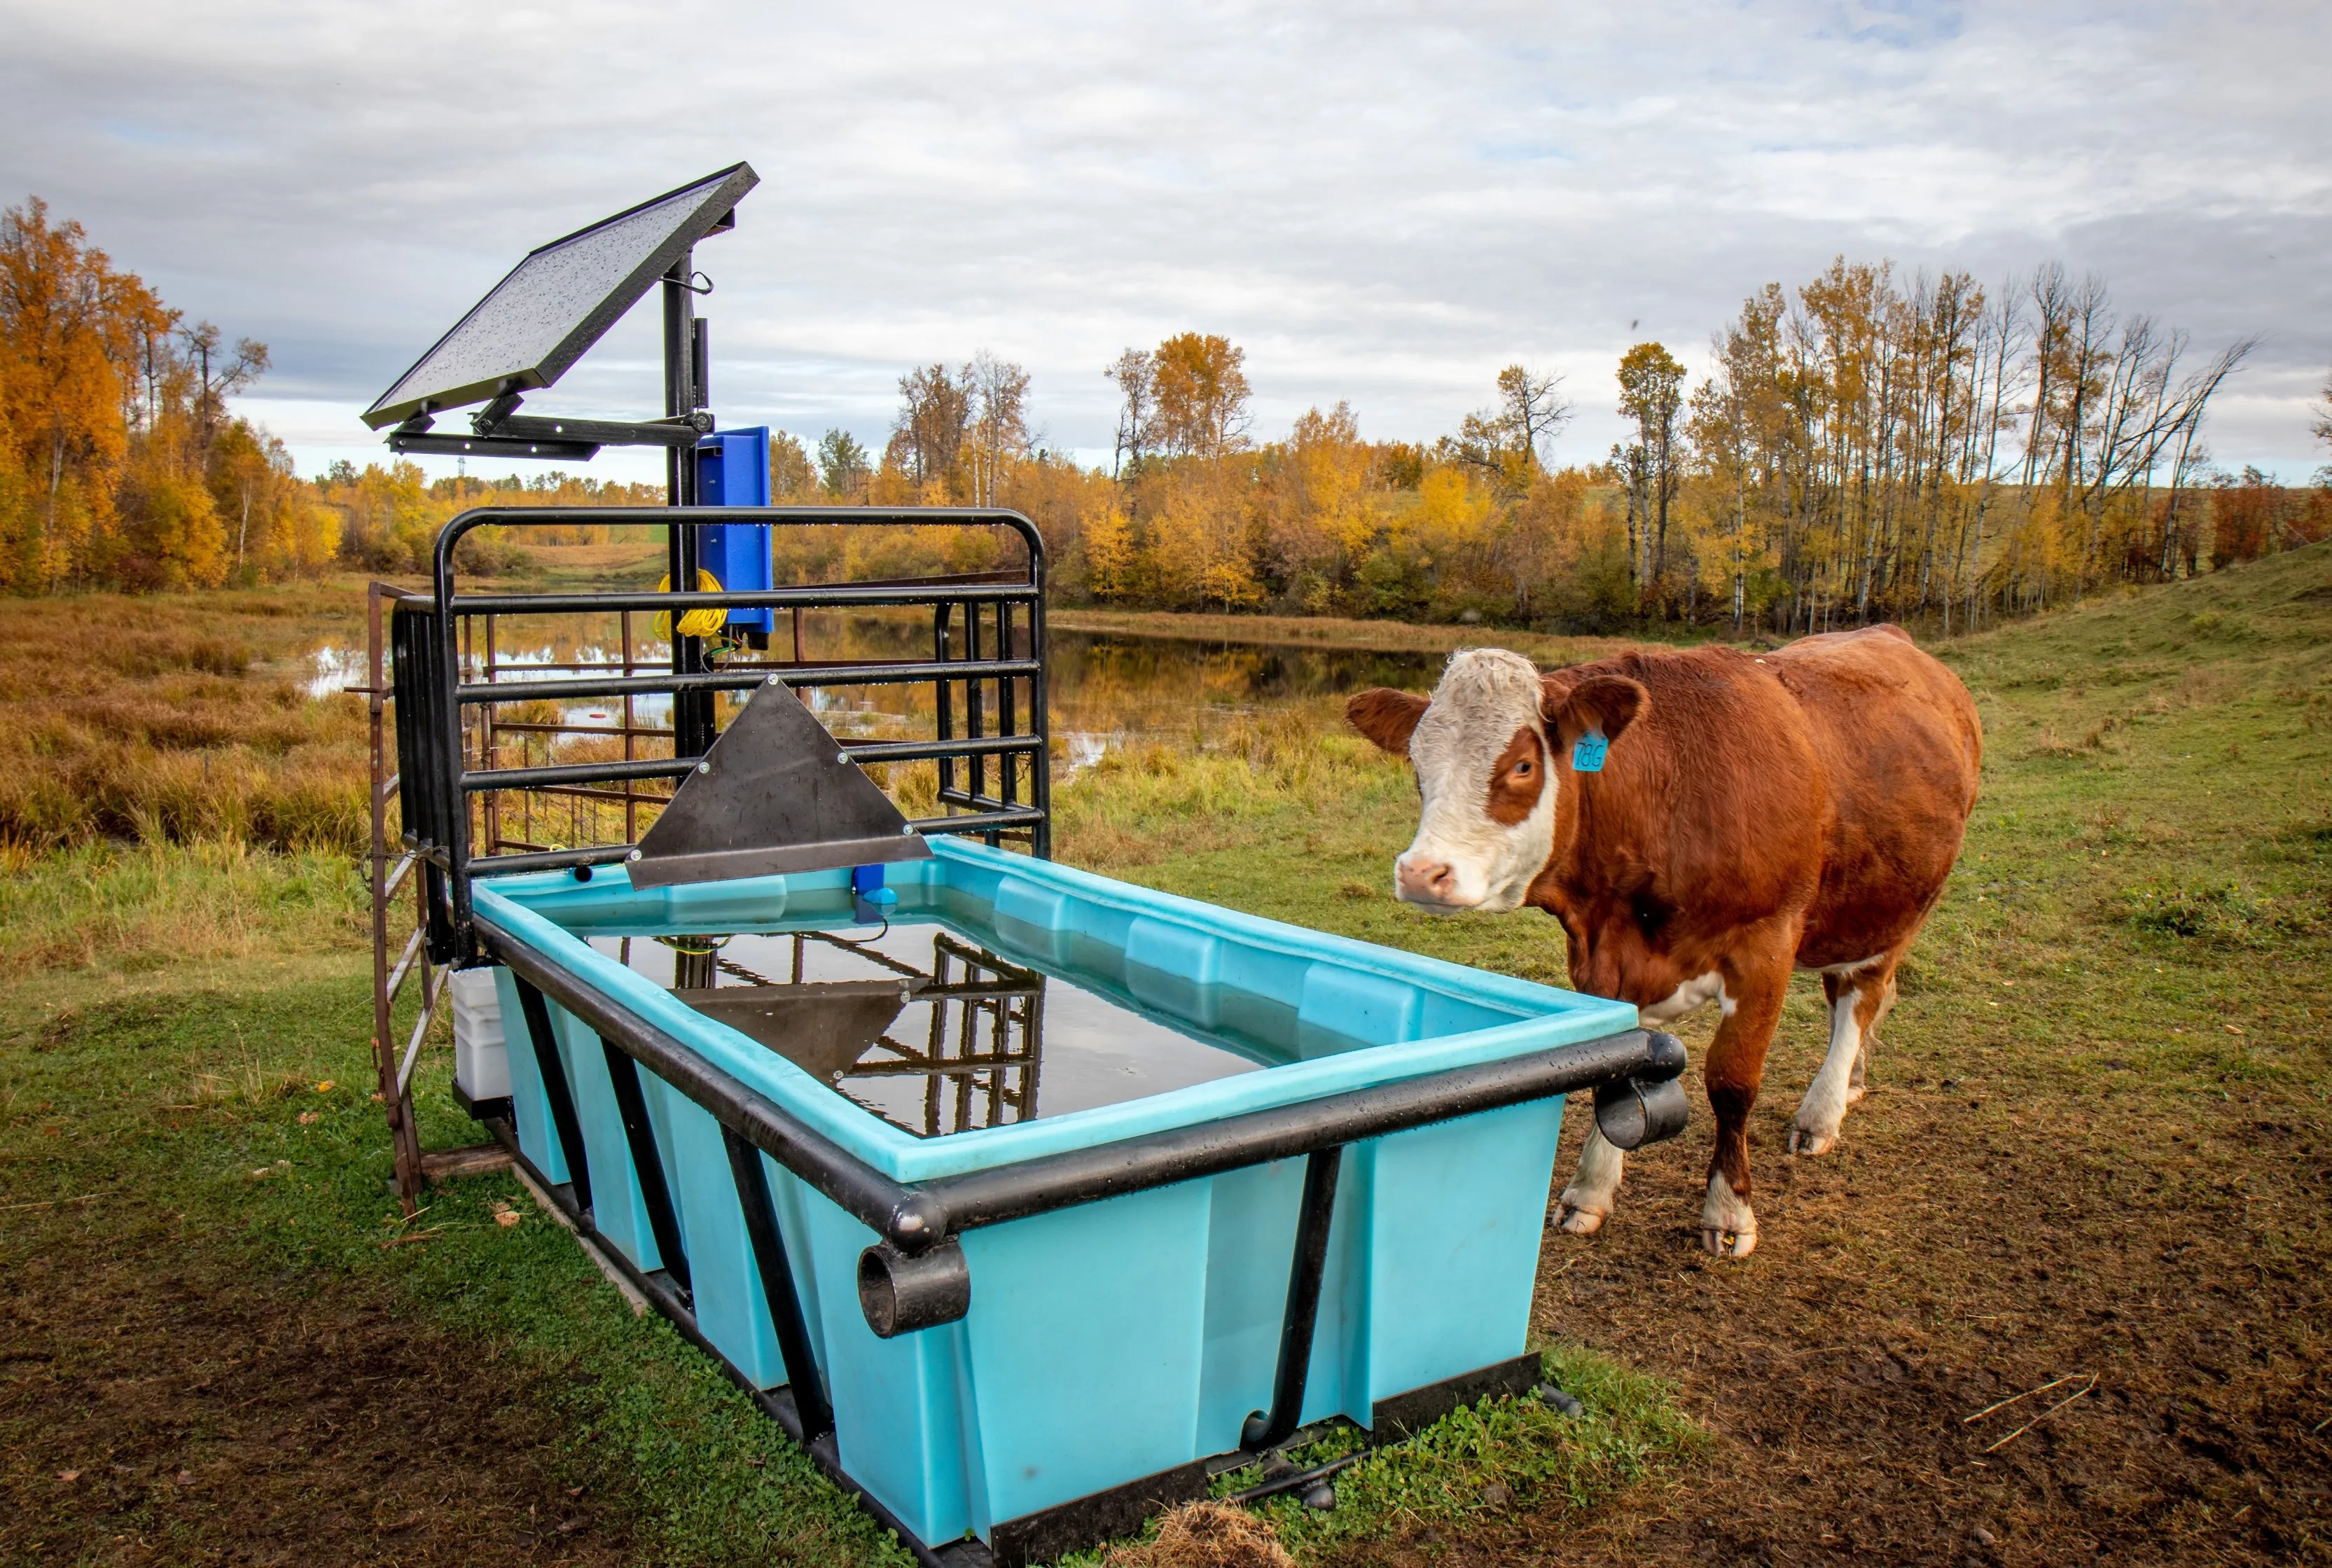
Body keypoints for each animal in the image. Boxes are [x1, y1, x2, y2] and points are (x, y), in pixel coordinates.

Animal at [1345, 626, 1981, 1257]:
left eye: (1523, 765)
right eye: (1418, 766)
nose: (1421, 873)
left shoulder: (1767, 946)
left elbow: (1732, 1083)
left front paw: (1729, 1210)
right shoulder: (1602, 960)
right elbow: (1611, 1067)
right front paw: (1590, 1191)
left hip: (1898, 910)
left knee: (1860, 996)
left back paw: (1822, 1112)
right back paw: (1850, 1083)